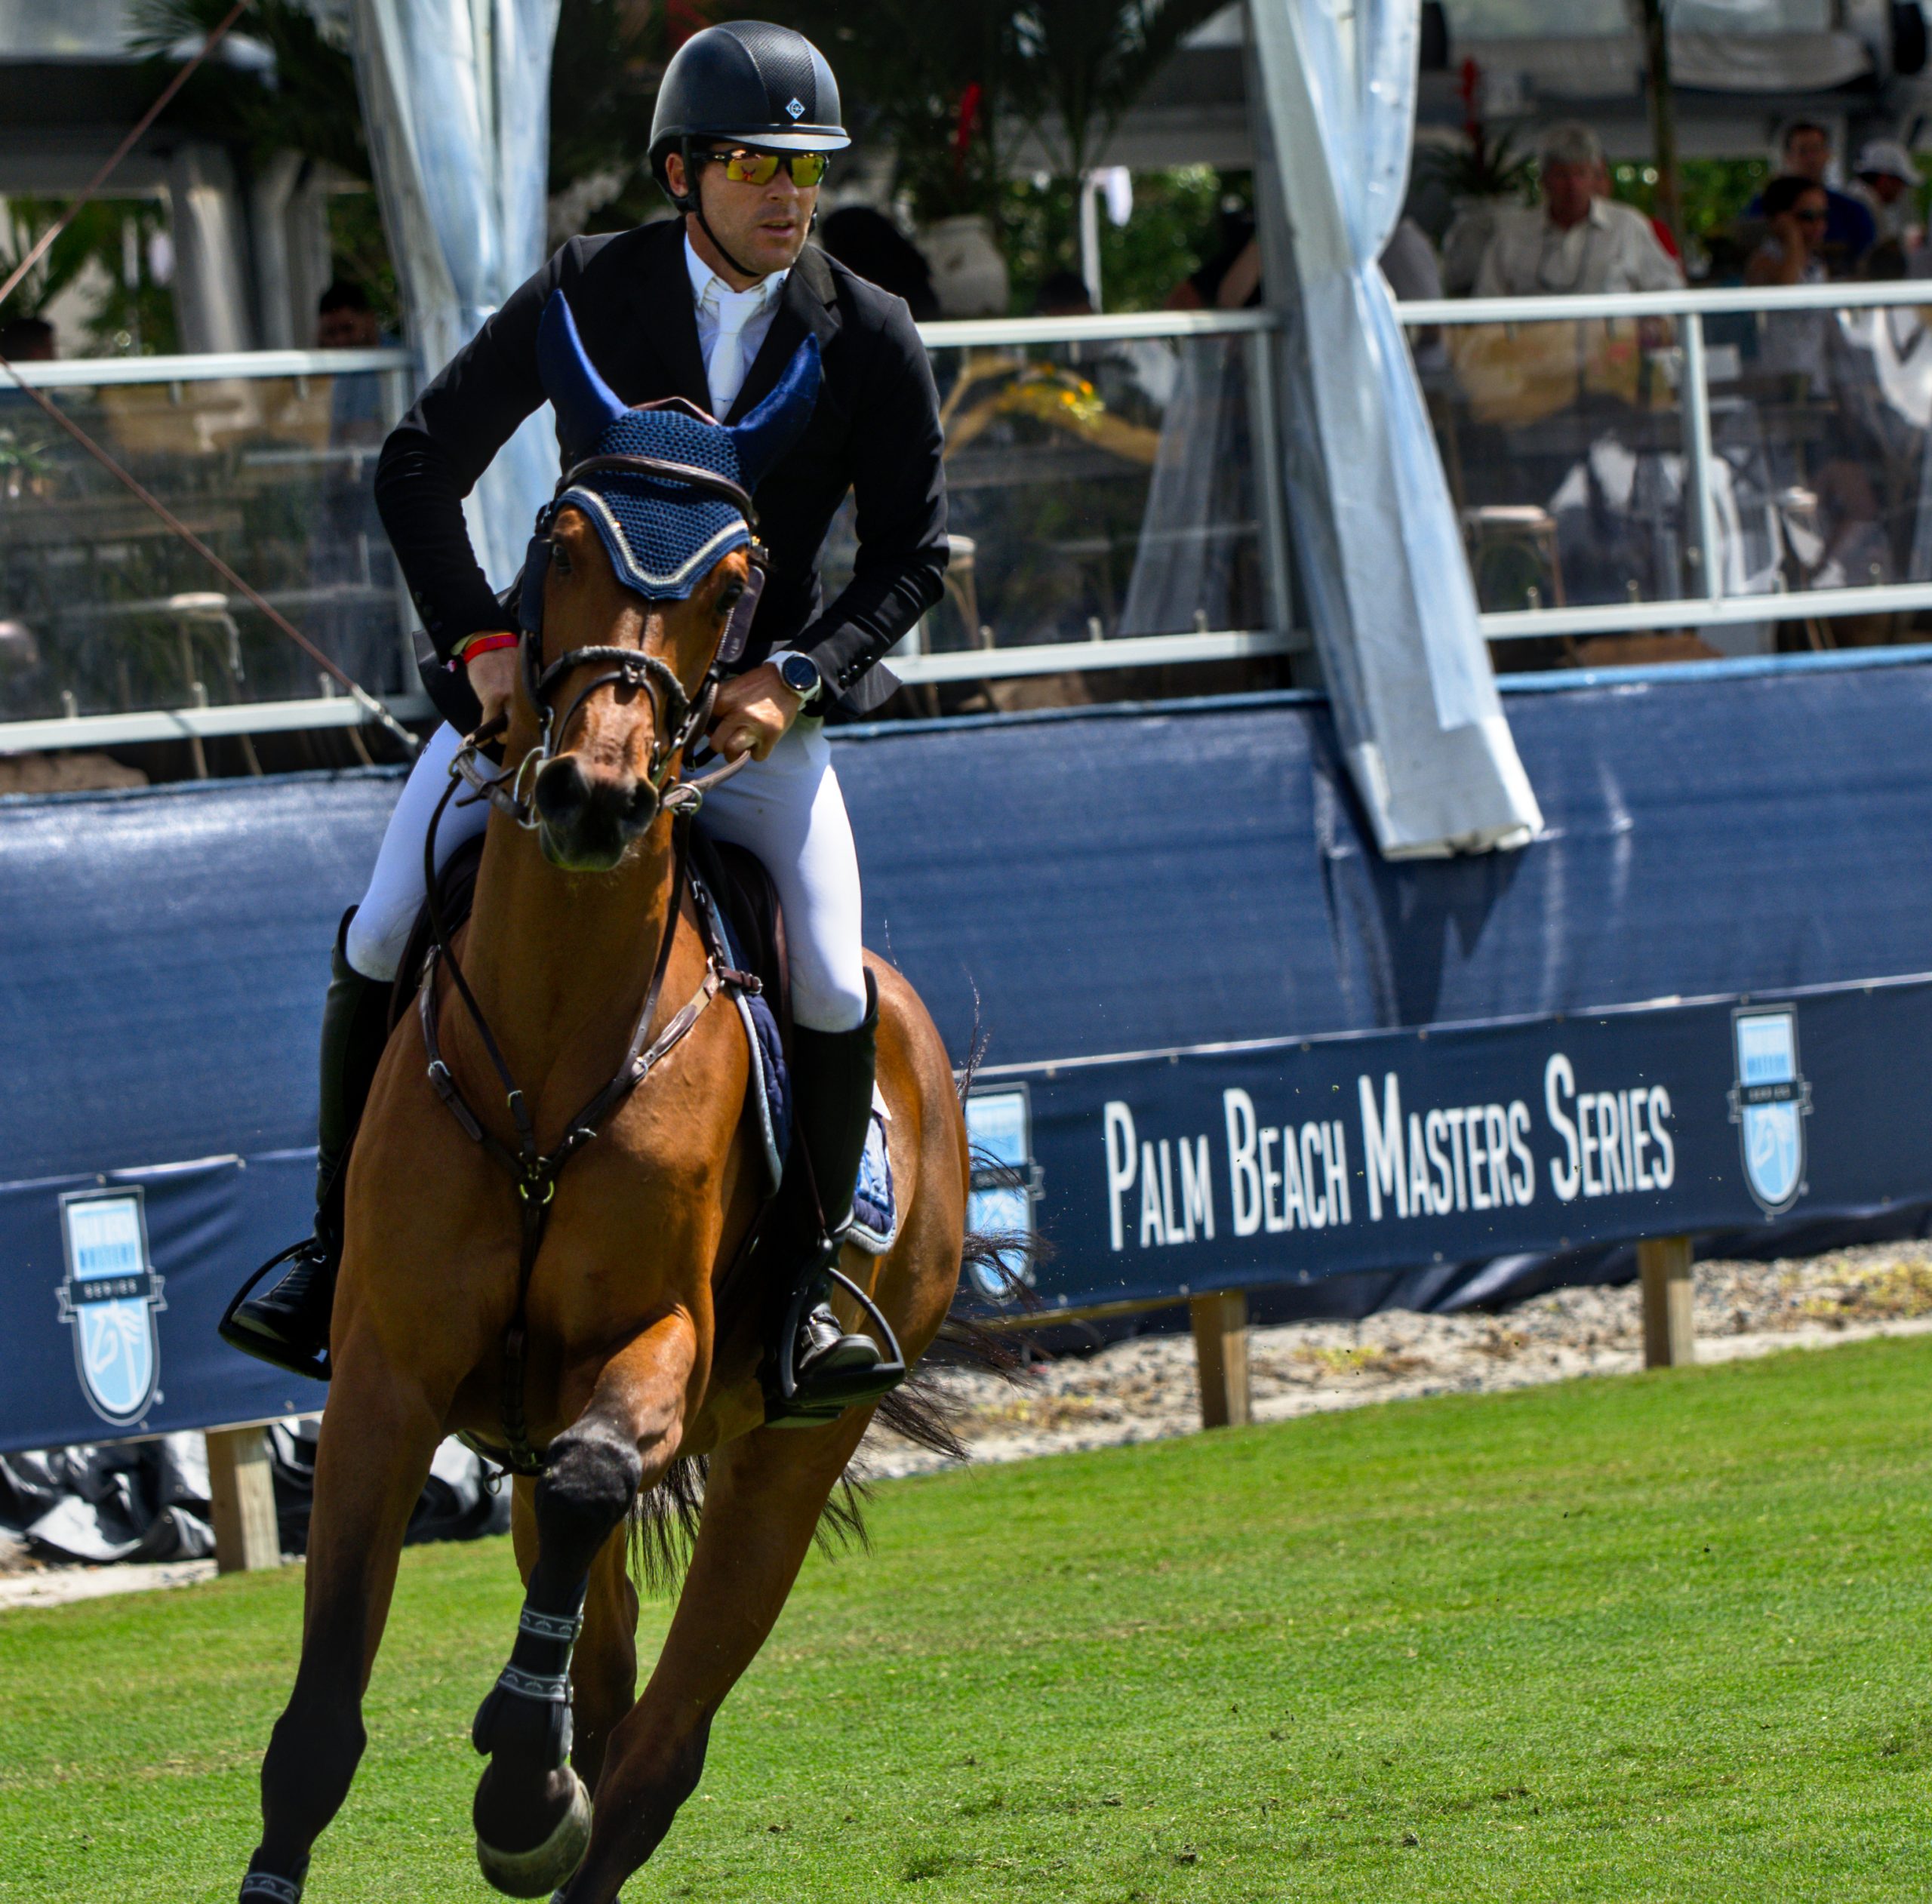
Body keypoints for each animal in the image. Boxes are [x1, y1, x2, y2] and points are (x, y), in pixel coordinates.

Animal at [235, 438, 974, 1892]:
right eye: (559, 542)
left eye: (737, 585)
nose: (596, 793)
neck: (556, 1029)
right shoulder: (388, 1375)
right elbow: (319, 1720)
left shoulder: (658, 1337)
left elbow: (593, 1480)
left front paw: (526, 1788)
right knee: (610, 1650)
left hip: (787, 1455)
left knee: (660, 1740)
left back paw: (550, 1787)